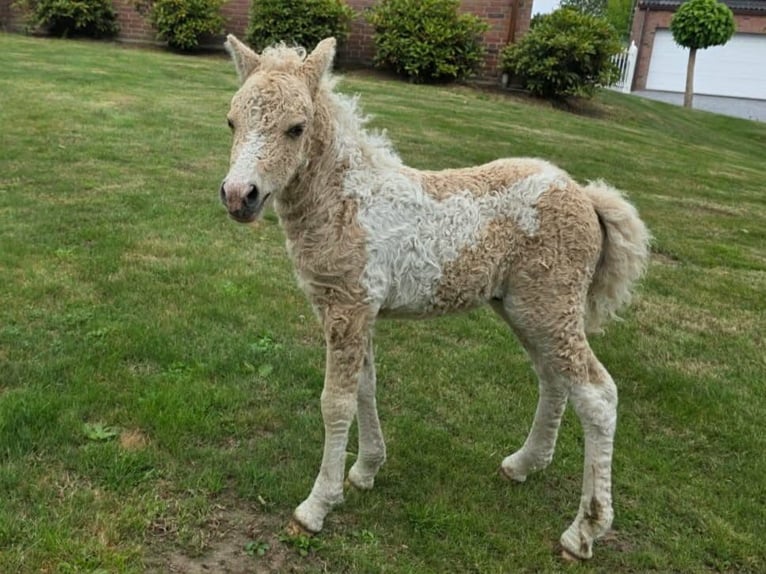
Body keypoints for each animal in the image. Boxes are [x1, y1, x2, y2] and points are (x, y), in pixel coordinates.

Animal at [219, 35, 650, 560]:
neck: (347, 202)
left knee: (597, 394)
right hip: (524, 309)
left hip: (551, 306)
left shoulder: (347, 308)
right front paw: (365, 469)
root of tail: (586, 197)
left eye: (295, 128)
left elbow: (335, 403)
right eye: (232, 121)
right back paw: (524, 464)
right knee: (553, 379)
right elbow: (365, 388)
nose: (239, 195)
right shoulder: (358, 311)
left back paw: (584, 530)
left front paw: (316, 506)